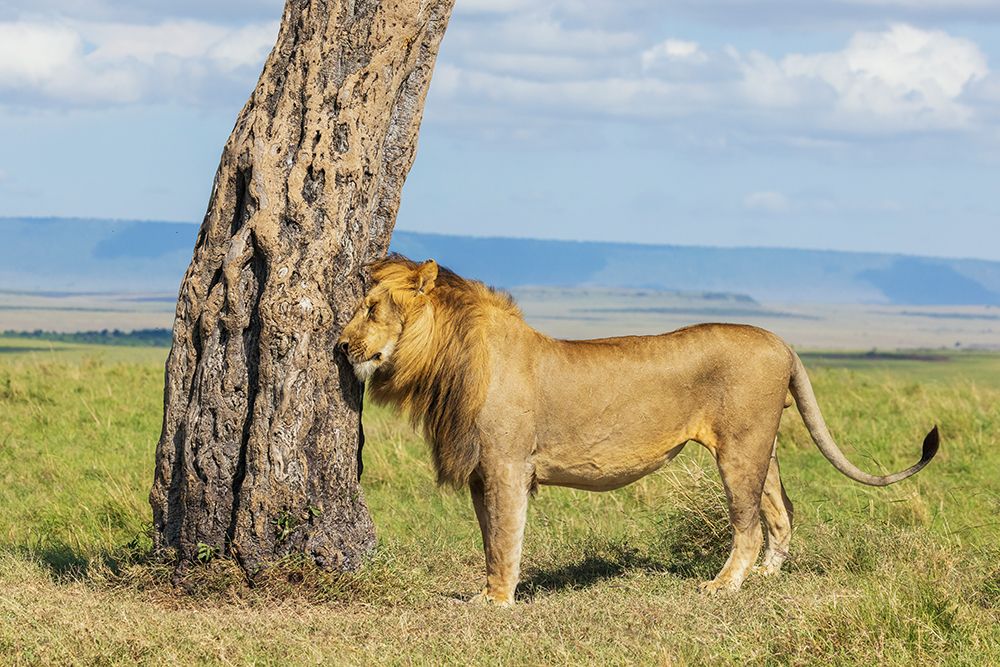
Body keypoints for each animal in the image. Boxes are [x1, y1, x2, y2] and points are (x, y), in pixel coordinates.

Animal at [337, 255, 940, 604]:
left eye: (371, 310)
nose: (340, 347)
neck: (450, 359)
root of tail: (781, 340)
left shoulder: (508, 466)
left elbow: (506, 537)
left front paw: (501, 603)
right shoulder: (483, 473)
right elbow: (489, 540)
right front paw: (488, 595)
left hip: (739, 450)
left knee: (746, 523)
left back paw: (724, 586)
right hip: (761, 448)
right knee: (782, 510)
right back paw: (767, 578)